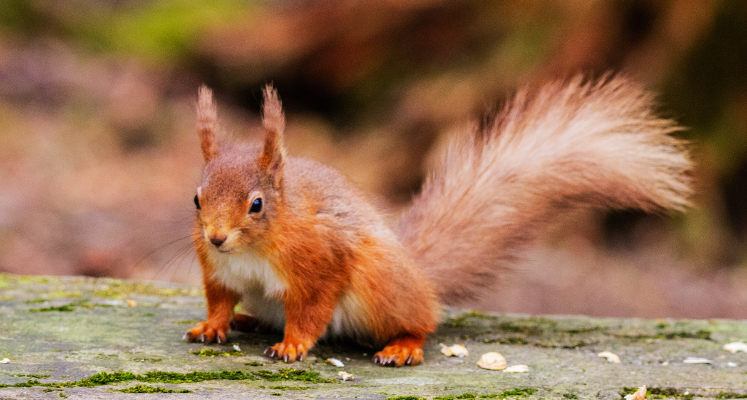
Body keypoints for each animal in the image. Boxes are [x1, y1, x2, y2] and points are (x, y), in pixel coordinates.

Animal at [184, 75, 692, 366]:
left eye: (256, 205)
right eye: (196, 199)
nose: (216, 237)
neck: (253, 250)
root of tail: (418, 273)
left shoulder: (321, 262)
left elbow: (311, 310)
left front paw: (293, 345)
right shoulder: (219, 272)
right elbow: (220, 299)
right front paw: (213, 325)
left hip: (380, 283)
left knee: (421, 321)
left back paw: (403, 347)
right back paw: (249, 321)